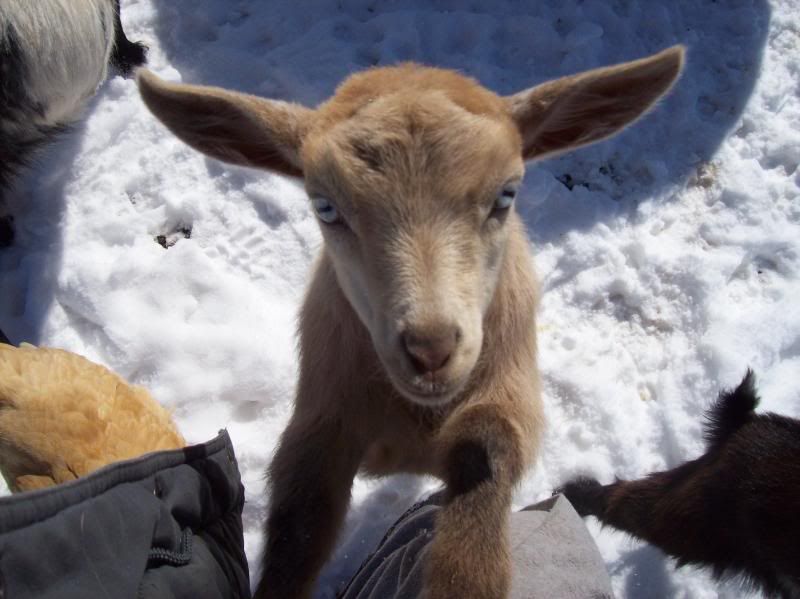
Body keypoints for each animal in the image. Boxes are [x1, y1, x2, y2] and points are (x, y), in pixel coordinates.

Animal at [137, 47, 685, 598]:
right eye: (325, 207)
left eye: (506, 195)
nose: (430, 348)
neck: (419, 417)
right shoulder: (325, 407)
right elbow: (302, 518)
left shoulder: (510, 384)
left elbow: (485, 445)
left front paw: (464, 576)